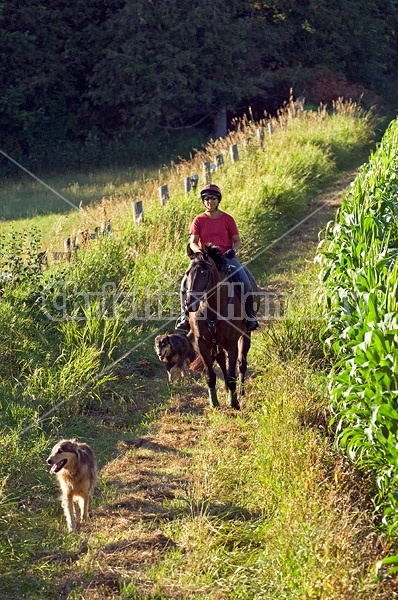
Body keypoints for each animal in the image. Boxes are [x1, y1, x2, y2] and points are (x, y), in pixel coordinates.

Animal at [185, 243, 256, 408]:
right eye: (188, 273)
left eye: (204, 273)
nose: (190, 303)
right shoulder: (202, 342)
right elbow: (210, 375)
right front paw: (214, 402)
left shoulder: (231, 342)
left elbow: (231, 375)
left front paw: (234, 402)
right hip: (216, 342)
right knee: (221, 360)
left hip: (245, 334)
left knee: (241, 362)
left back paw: (240, 393)